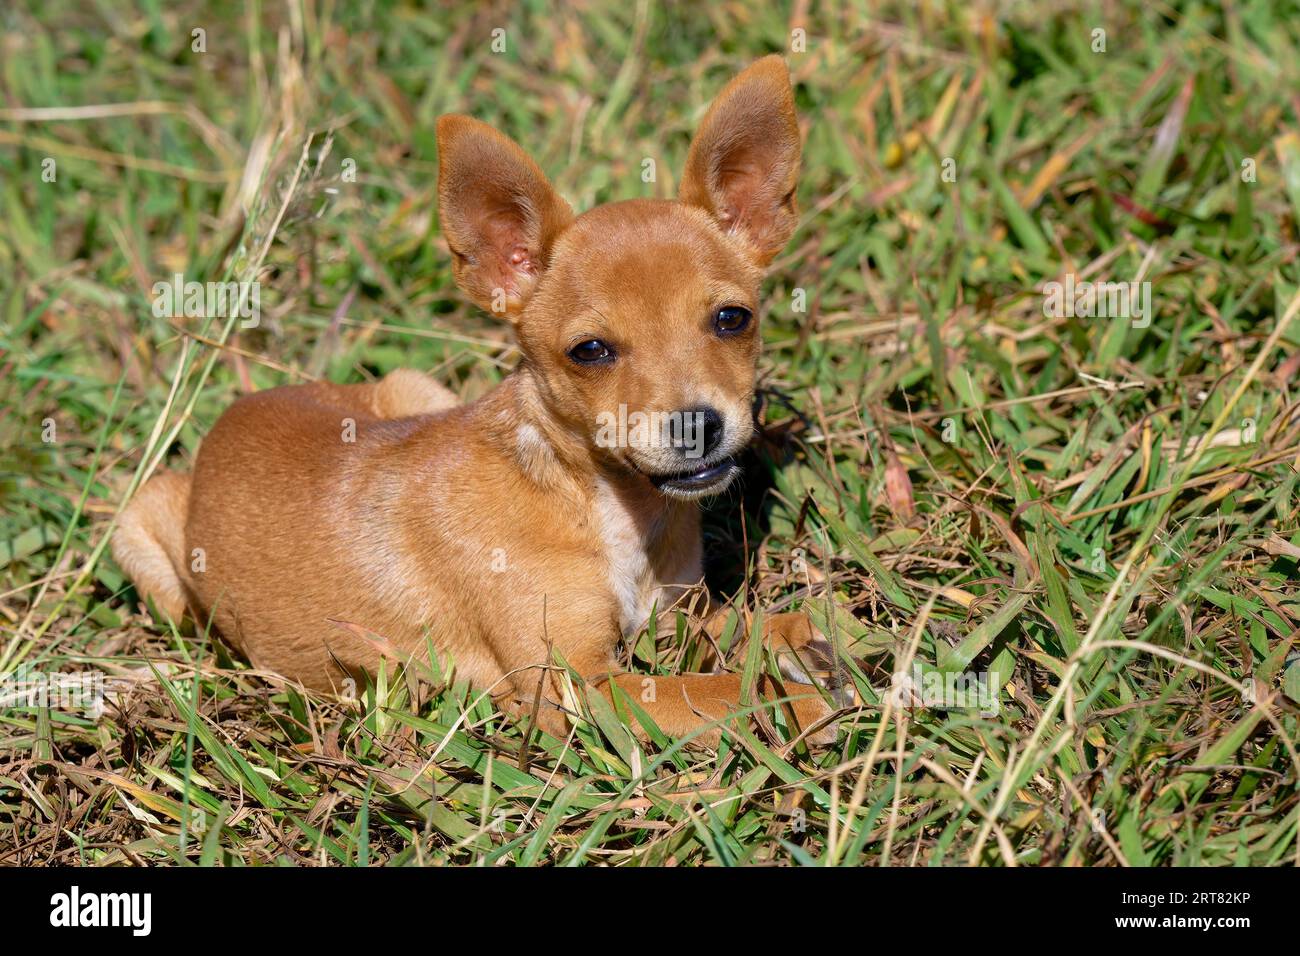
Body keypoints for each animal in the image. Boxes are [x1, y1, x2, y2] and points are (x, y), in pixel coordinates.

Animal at [111, 55, 842, 749]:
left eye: (732, 319)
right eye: (590, 351)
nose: (697, 425)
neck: (595, 501)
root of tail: (236, 413)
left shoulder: (680, 616)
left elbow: (748, 628)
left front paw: (806, 641)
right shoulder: (580, 687)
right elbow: (717, 693)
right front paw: (803, 704)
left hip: (414, 387)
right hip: (140, 539)